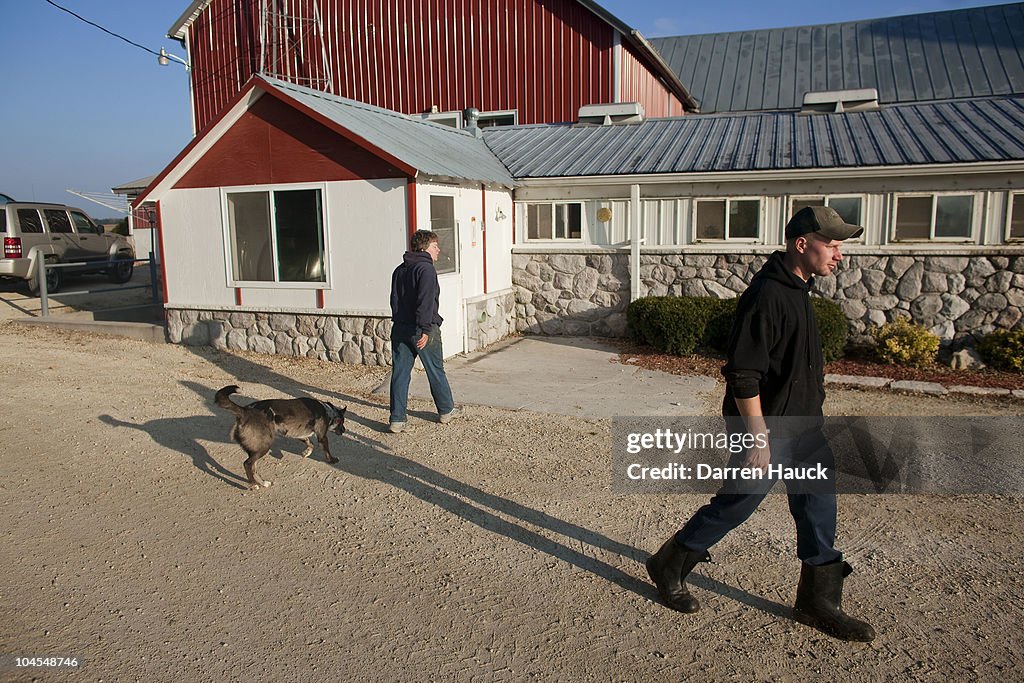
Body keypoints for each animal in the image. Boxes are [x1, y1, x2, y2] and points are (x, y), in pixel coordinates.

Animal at [214, 385, 346, 491]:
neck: (327, 411)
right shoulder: (322, 437)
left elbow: (310, 443)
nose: (344, 430)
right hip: (264, 446)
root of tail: (245, 411)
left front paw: (306, 452)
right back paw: (253, 484)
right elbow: (327, 451)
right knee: (247, 464)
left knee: (253, 467)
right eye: (341, 423)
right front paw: (333, 460)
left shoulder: (298, 434)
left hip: (258, 449)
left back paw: (262, 483)